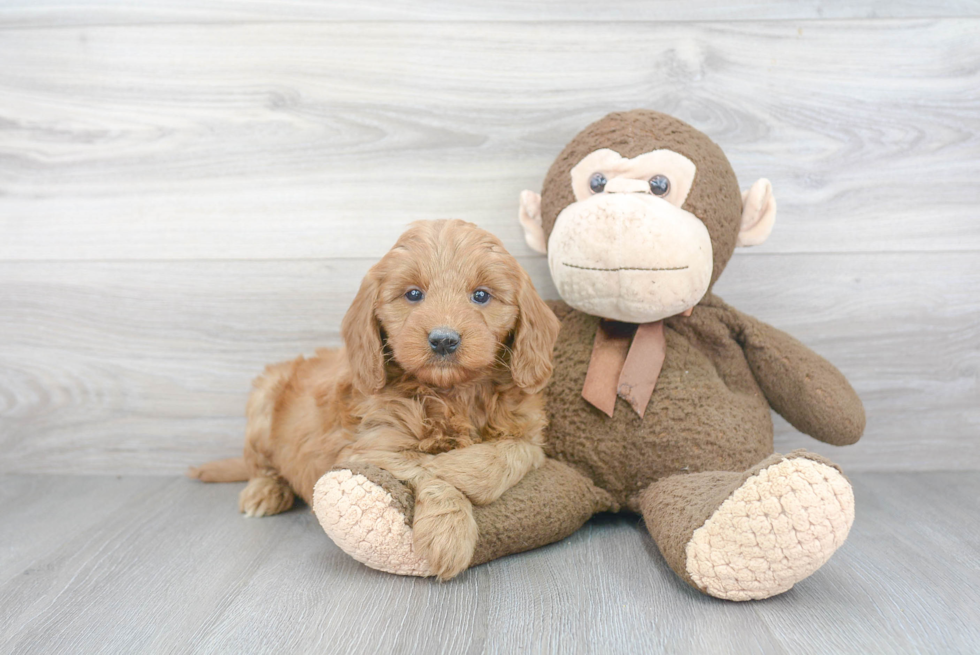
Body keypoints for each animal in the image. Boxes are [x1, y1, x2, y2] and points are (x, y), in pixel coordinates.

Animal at [191, 220, 560, 580]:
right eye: (413, 294)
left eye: (481, 295)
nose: (443, 339)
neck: (454, 394)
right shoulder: (370, 448)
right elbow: (421, 469)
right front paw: (449, 531)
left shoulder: (530, 433)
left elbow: (515, 453)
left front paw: (456, 469)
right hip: (264, 398)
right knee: (260, 465)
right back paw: (265, 492)